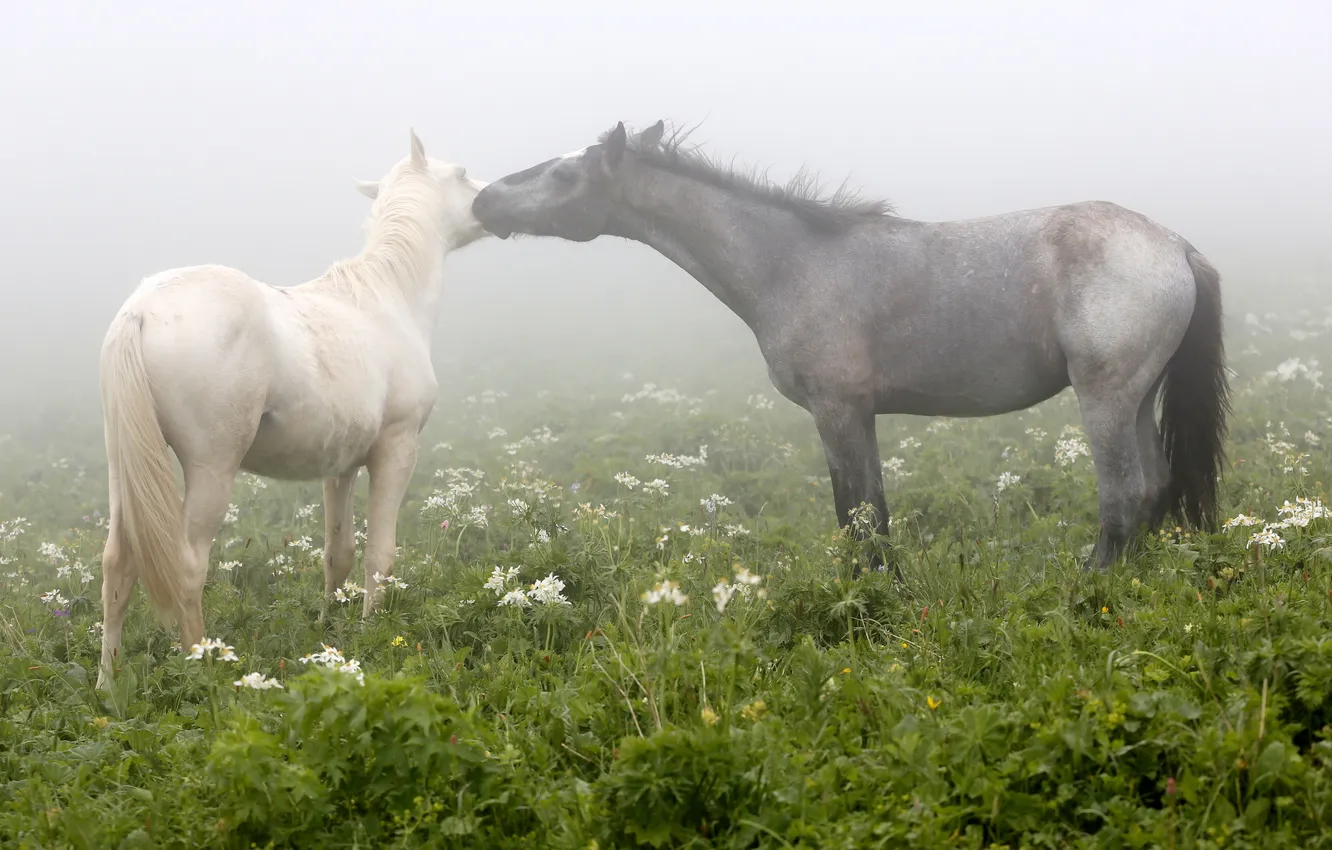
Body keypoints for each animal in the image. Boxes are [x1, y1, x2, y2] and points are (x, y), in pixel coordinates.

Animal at [96, 130, 488, 688]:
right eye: (461, 174)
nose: (491, 201)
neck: (387, 299)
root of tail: (142, 309)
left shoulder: (341, 466)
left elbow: (338, 555)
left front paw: (331, 631)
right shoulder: (396, 450)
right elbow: (380, 554)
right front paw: (371, 633)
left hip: (121, 467)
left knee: (117, 567)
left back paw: (107, 687)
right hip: (211, 468)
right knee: (187, 564)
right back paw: (203, 668)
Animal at [471, 120, 1230, 576]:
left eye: (564, 176)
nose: (482, 201)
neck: (792, 263)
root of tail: (1175, 245)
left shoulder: (836, 410)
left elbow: (857, 516)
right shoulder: (857, 415)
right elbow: (871, 513)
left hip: (1105, 398)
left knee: (1122, 495)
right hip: (1137, 397)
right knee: (1155, 487)